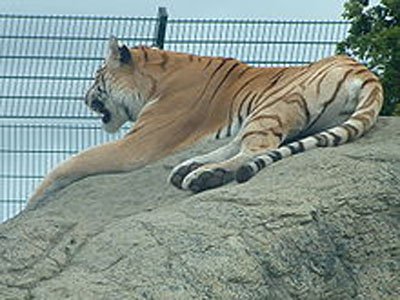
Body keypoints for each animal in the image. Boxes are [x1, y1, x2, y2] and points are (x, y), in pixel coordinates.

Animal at [27, 36, 382, 206]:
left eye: (96, 77)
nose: (84, 98)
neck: (154, 78)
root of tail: (367, 75)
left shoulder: (138, 144)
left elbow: (67, 164)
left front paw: (33, 202)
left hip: (272, 104)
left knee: (255, 149)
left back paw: (204, 175)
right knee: (243, 144)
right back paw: (190, 166)